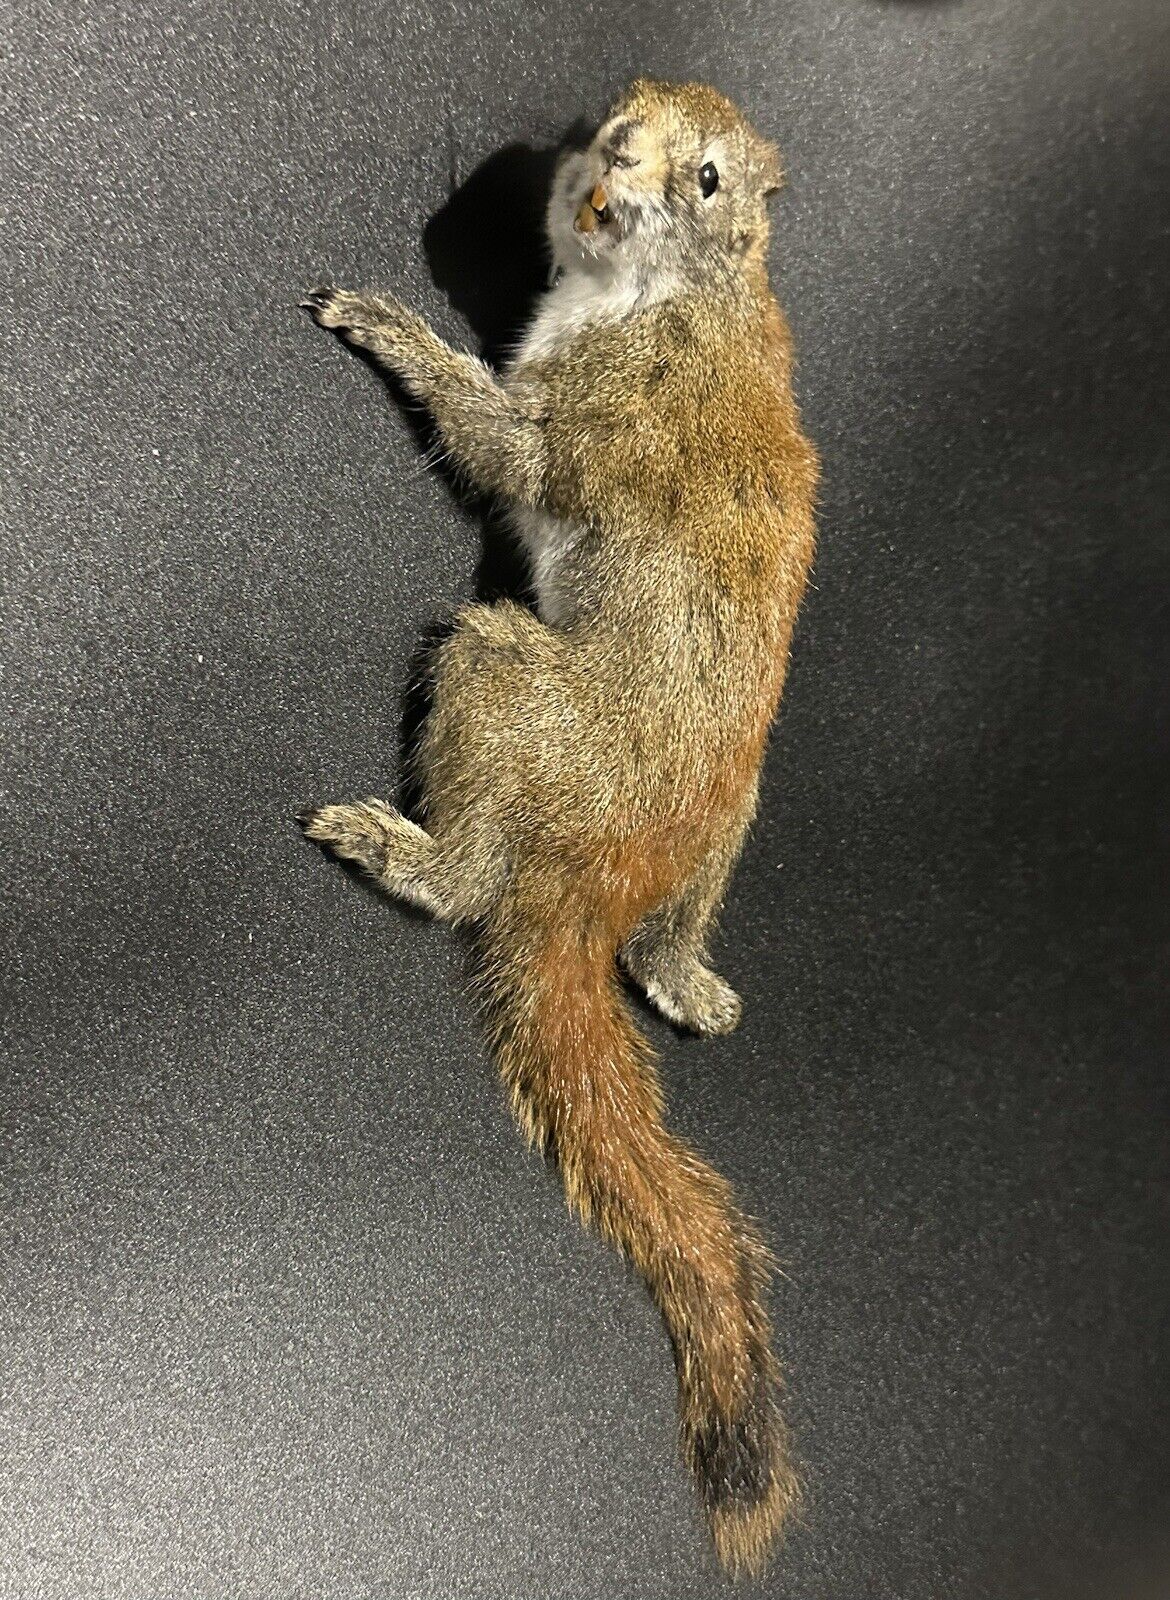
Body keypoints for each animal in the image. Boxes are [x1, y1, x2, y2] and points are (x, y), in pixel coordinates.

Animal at [301, 77, 819, 1575]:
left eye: (706, 178)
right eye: (621, 110)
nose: (607, 162)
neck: (679, 292)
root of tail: (595, 885)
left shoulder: (603, 412)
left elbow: (505, 442)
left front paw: (388, 322)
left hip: (496, 676)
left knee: (468, 879)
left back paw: (405, 851)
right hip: (720, 836)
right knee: (666, 937)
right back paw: (682, 978)